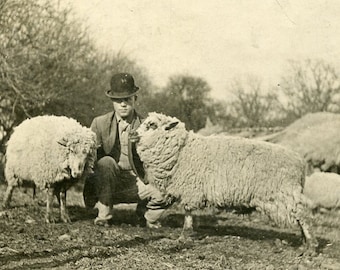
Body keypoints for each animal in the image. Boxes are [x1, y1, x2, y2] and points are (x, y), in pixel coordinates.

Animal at [133, 112, 318, 253]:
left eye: (152, 125)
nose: (133, 134)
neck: (182, 150)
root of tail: (300, 163)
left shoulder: (191, 189)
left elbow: (188, 213)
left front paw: (184, 236)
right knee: (300, 216)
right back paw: (304, 243)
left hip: (284, 193)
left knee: (304, 215)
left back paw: (311, 246)